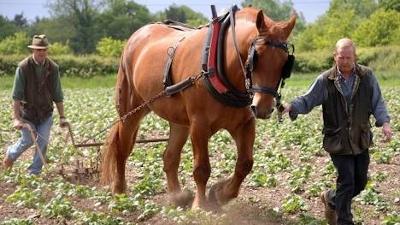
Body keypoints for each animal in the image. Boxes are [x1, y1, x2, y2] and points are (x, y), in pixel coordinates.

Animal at [101, 6, 294, 210]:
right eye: (255, 56)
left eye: (285, 63)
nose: (263, 107)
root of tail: (136, 35)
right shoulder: (199, 124)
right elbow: (202, 168)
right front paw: (200, 206)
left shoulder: (244, 124)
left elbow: (245, 164)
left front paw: (221, 193)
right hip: (130, 111)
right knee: (122, 149)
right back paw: (120, 191)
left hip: (179, 121)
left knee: (170, 156)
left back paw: (177, 196)